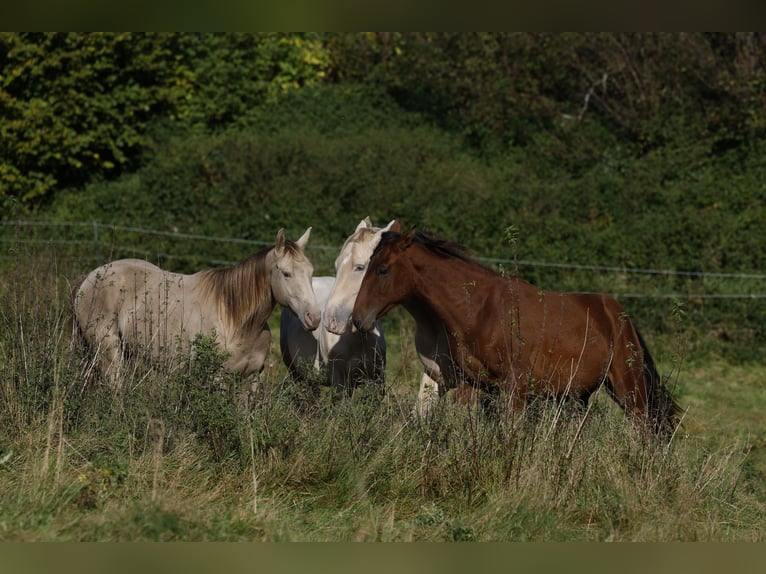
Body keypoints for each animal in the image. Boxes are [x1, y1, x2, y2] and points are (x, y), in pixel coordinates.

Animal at [73, 226, 320, 388]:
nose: (314, 317)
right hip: (109, 352)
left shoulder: (252, 378)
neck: (235, 320)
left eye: (311, 272)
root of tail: (90, 278)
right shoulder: (217, 379)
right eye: (286, 273)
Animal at [280, 218, 392, 398]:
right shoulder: (340, 380)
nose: (330, 321)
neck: (358, 338)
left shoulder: (376, 379)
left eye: (360, 267)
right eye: (337, 265)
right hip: (298, 375)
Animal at [354, 230, 684, 436]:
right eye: (366, 266)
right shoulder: (480, 386)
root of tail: (619, 316)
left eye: (383, 269)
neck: (480, 309)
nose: (359, 319)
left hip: (629, 391)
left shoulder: (515, 388)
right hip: (576, 397)